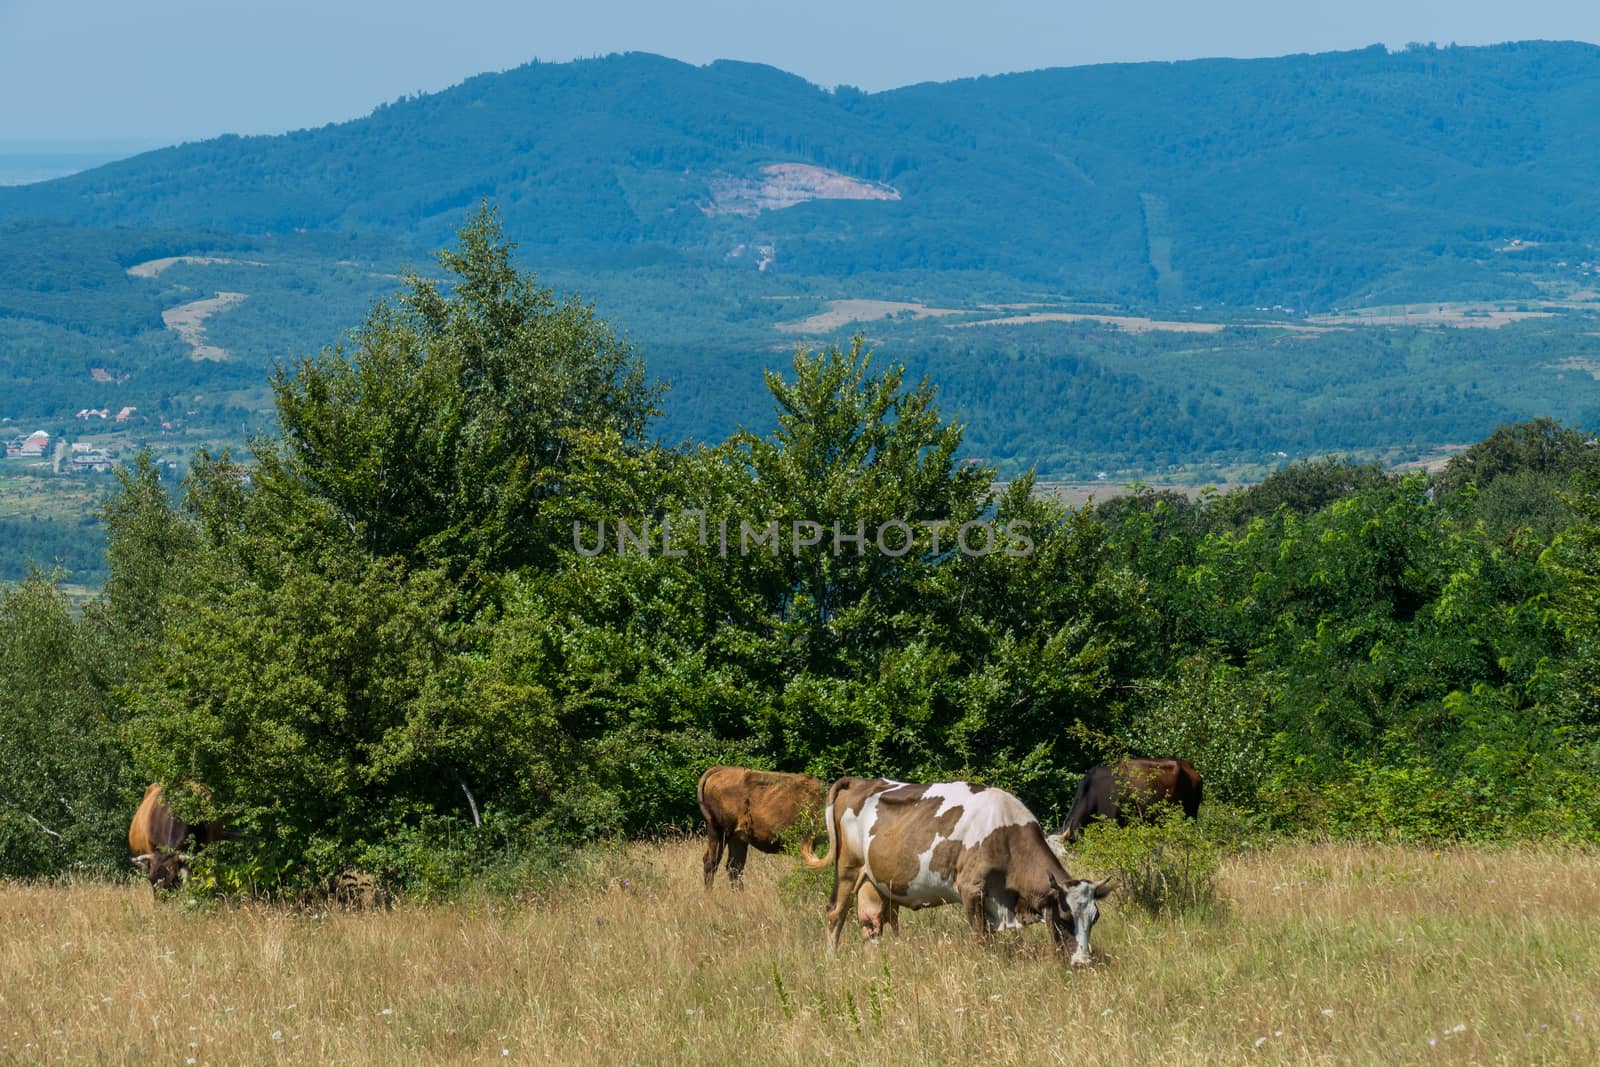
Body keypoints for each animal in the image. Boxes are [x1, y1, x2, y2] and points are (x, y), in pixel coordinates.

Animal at [800, 780, 1113, 966]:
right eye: (1064, 918)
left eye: (1095, 918)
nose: (1083, 962)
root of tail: (861, 781)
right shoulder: (971, 889)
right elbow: (981, 939)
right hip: (848, 869)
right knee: (835, 914)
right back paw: (831, 961)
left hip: (875, 883)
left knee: (872, 925)